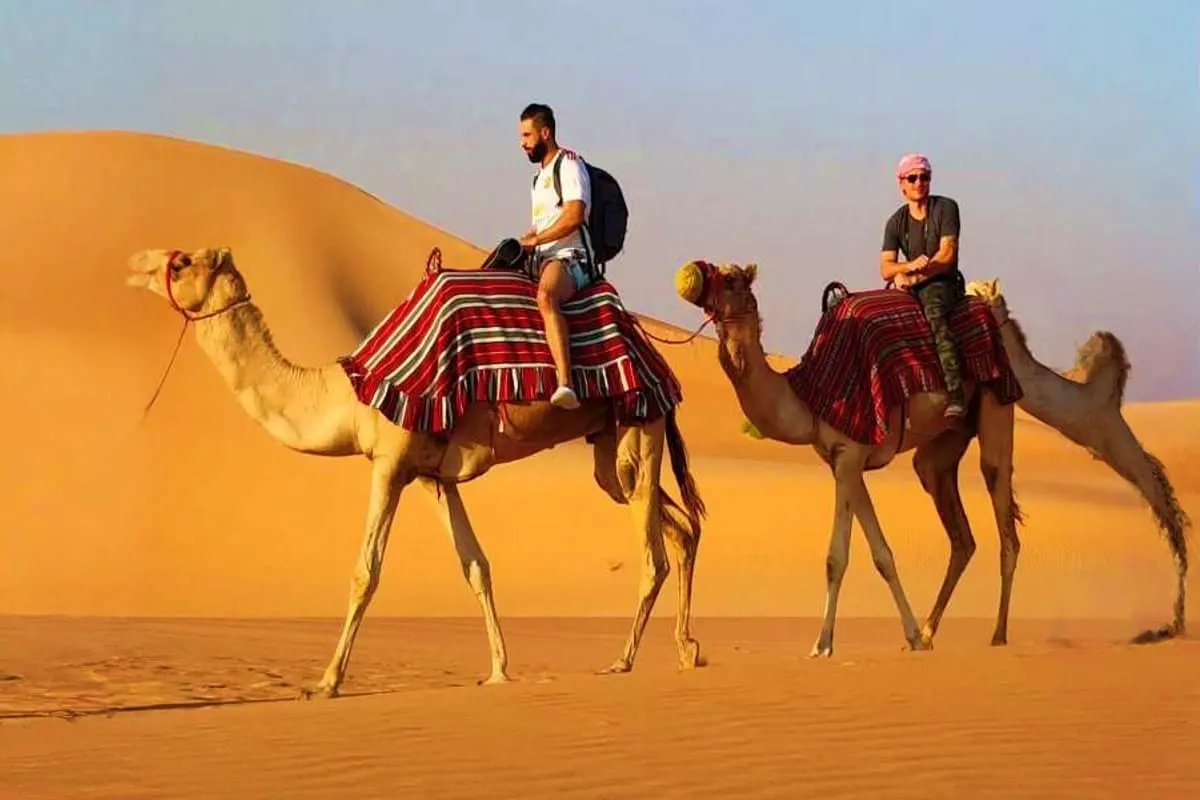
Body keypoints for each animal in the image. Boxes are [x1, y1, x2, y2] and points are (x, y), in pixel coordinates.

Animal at [125, 246, 707, 699]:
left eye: (180, 263)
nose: (133, 264)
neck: (350, 395)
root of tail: (650, 348)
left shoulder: (391, 461)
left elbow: (366, 572)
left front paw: (326, 681)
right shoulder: (433, 476)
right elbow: (476, 566)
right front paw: (498, 670)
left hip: (640, 423)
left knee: (654, 552)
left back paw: (623, 661)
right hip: (614, 444)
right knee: (679, 526)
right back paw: (687, 649)